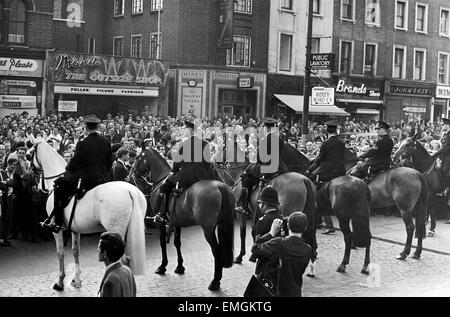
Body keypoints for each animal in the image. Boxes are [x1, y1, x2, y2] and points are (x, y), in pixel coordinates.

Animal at [32, 139, 148, 290]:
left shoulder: (57, 230)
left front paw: (60, 281)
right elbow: (75, 251)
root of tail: (130, 191)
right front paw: (76, 280)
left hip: (116, 230)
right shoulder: (75, 230)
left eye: (30, 152)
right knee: (127, 260)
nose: (31, 171)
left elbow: (60, 253)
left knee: (122, 259)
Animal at [130, 147, 236, 290]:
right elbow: (177, 243)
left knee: (216, 250)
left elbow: (162, 243)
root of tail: (220, 187)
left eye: (137, 157)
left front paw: (162, 266)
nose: (131, 174)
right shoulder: (177, 222)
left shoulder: (161, 223)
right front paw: (180, 267)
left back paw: (215, 281)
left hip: (208, 229)